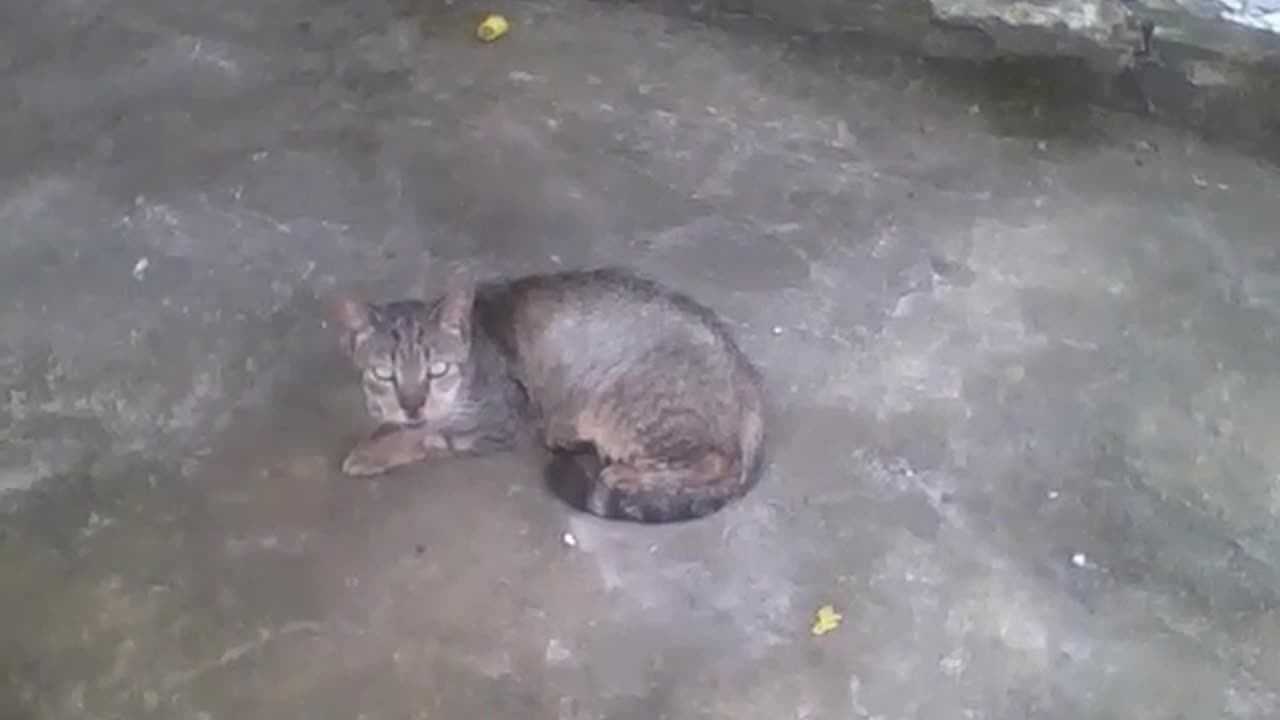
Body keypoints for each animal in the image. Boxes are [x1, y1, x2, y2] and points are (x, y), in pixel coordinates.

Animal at [335, 265, 762, 520]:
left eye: (437, 370)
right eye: (384, 374)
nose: (412, 405)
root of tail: (747, 378)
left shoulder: (502, 418)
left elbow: (427, 435)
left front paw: (373, 451)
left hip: (639, 410)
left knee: (717, 460)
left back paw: (623, 474)